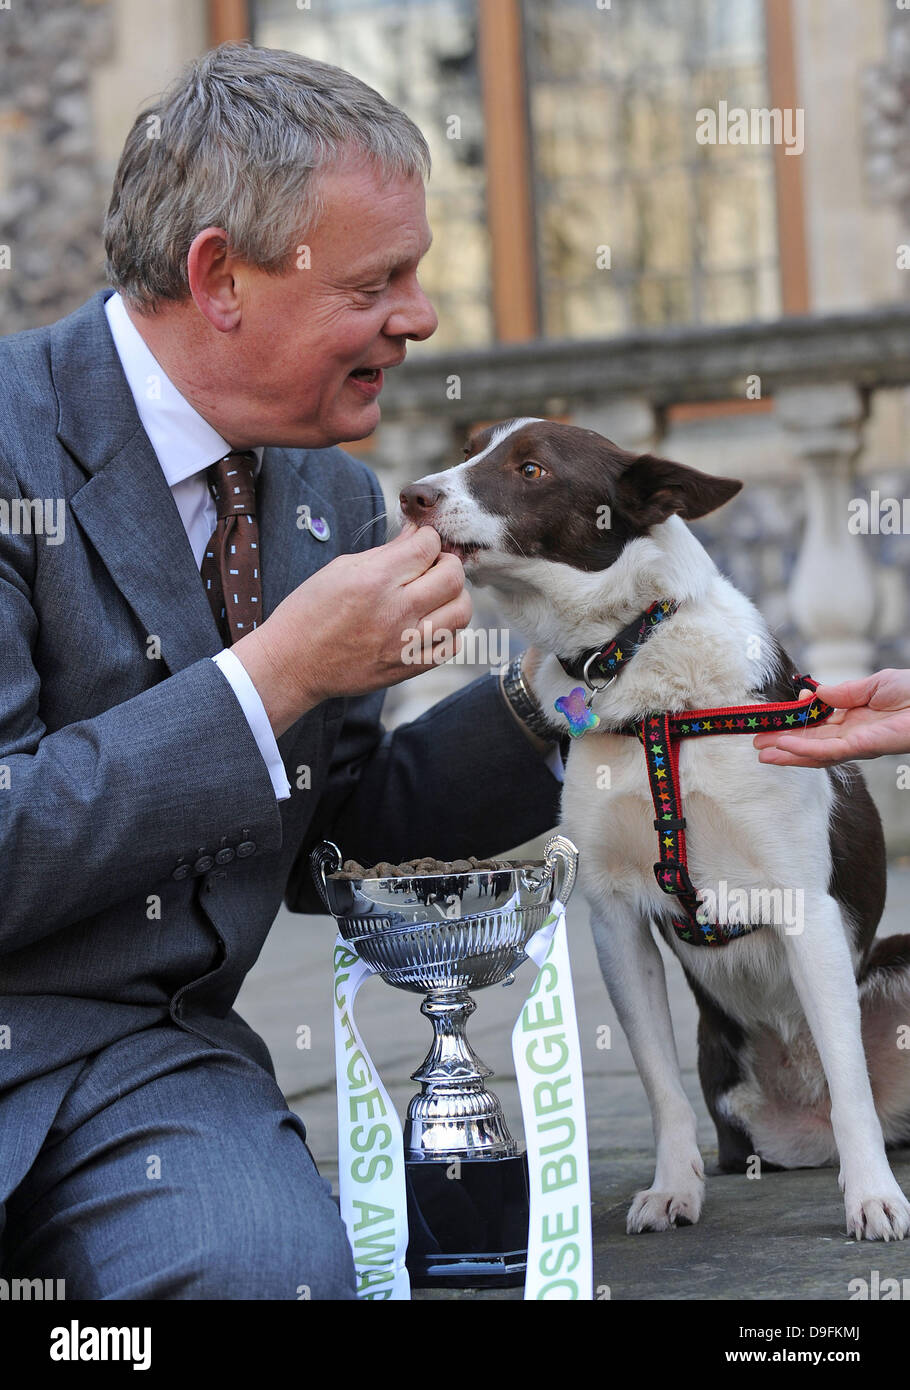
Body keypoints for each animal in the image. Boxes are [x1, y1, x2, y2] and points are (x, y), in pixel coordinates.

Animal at [402, 414, 910, 1239]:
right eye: (471, 448)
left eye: (532, 469)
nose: (412, 497)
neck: (634, 658)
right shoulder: (614, 917)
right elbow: (659, 1087)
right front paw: (673, 1189)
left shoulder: (805, 906)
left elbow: (850, 1079)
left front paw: (873, 1198)